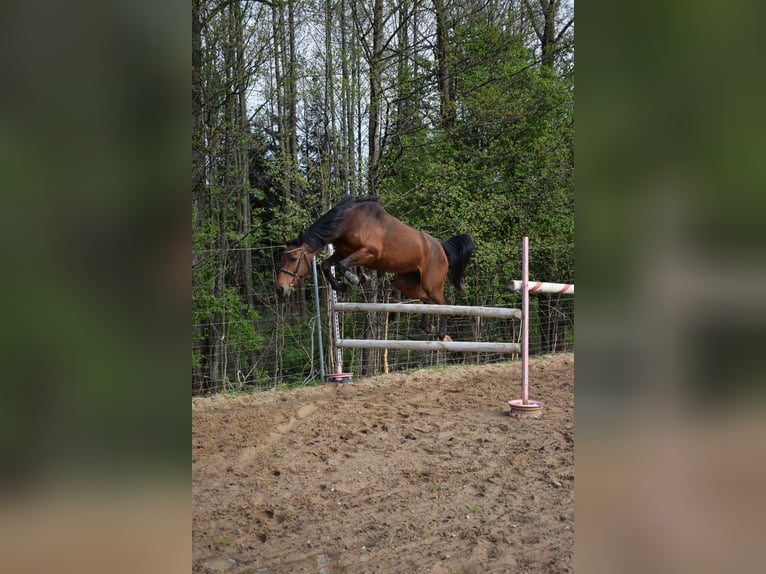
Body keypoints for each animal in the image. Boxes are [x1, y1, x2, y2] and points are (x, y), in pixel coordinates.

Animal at [276, 198, 474, 342]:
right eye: (282, 258)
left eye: (293, 259)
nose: (280, 289)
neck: (347, 222)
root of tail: (441, 247)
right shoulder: (343, 251)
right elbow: (326, 265)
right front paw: (342, 285)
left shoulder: (369, 252)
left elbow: (341, 266)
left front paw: (356, 279)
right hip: (407, 283)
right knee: (427, 302)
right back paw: (428, 328)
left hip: (431, 284)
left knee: (444, 303)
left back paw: (442, 334)